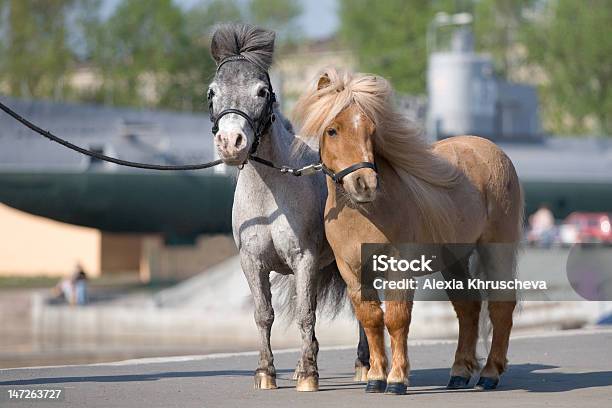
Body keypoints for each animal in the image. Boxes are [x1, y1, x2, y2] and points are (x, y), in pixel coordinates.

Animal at [207, 25, 368, 392]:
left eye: (262, 91)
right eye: (212, 92)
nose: (231, 143)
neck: (270, 198)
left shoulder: (304, 260)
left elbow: (306, 315)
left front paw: (308, 375)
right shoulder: (253, 264)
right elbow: (264, 315)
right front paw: (266, 372)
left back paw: (364, 365)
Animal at [294, 68, 524, 394]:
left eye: (371, 129)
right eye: (332, 130)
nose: (365, 184)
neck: (367, 215)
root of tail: (491, 149)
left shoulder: (399, 266)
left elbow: (396, 319)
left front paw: (397, 379)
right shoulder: (353, 272)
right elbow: (371, 320)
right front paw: (375, 378)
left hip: (496, 249)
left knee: (501, 307)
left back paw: (490, 373)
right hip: (454, 260)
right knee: (468, 307)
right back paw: (459, 373)